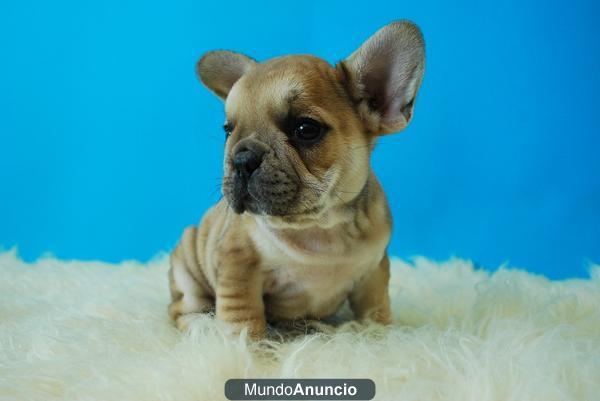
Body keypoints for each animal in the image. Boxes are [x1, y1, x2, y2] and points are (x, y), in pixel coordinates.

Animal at [166, 19, 424, 338]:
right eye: (228, 130)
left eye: (305, 129)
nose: (241, 158)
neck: (321, 227)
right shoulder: (238, 261)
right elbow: (243, 314)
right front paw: (245, 344)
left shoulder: (373, 272)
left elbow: (375, 308)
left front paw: (379, 335)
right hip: (187, 262)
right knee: (183, 307)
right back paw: (201, 325)